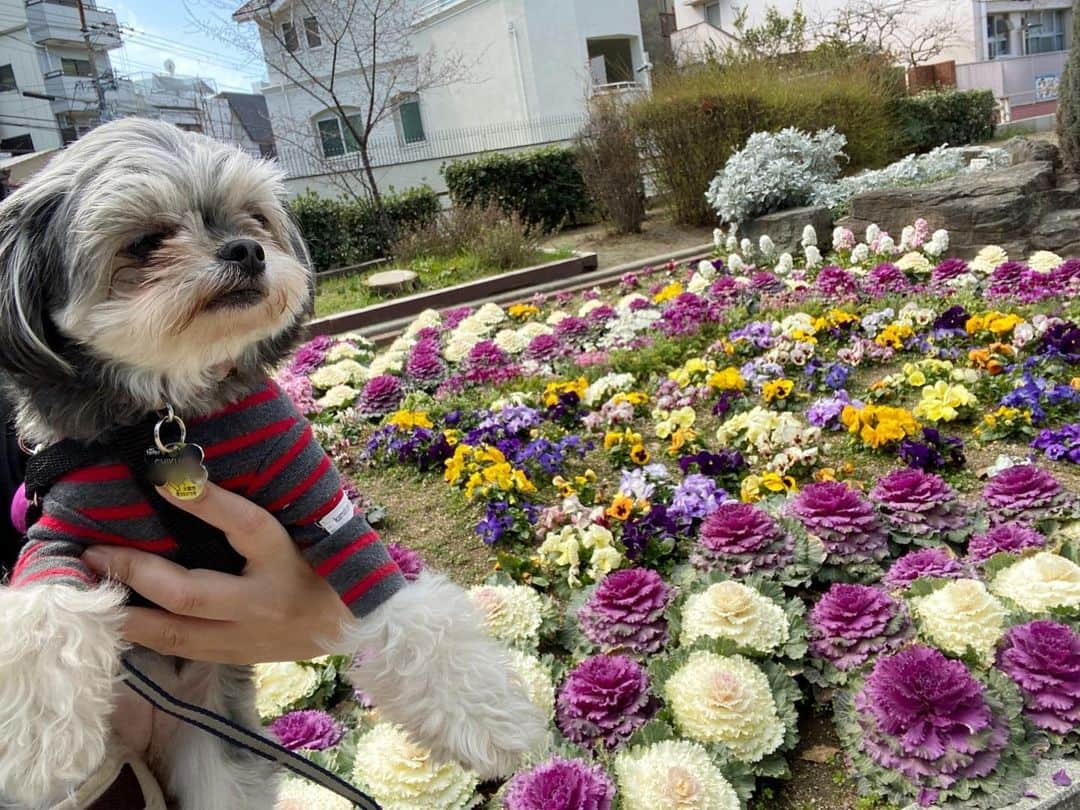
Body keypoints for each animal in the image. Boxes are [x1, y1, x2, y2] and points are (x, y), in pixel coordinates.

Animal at [0, 120, 544, 810]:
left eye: (254, 218)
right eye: (145, 242)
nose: (247, 250)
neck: (166, 422)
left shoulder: (320, 504)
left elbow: (406, 615)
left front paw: (490, 720)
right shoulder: (63, 533)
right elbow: (43, 618)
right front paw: (35, 750)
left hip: (214, 753)